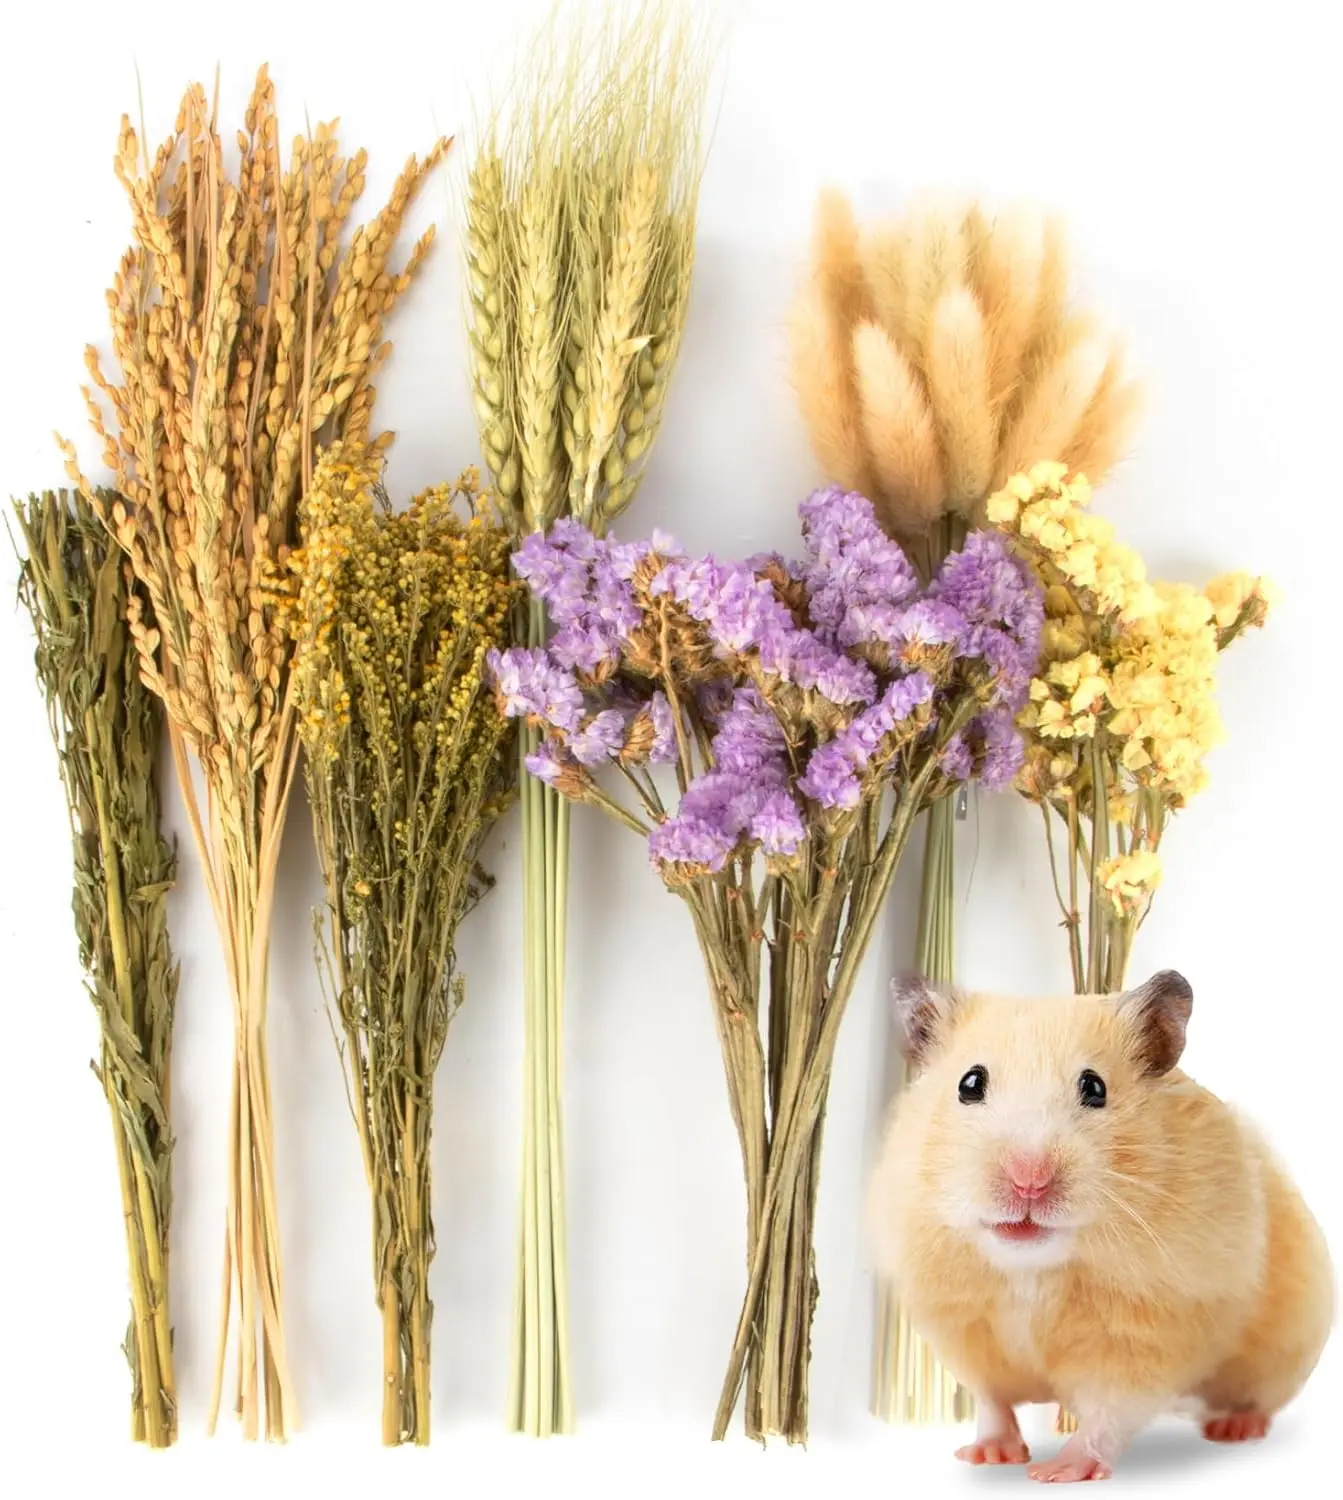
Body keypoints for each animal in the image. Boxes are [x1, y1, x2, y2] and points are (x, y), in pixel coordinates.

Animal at [868, 969, 1334, 1483]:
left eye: (1095, 1088)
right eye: (969, 1083)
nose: (1029, 1180)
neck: (1032, 1269)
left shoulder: (1147, 1336)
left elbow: (1109, 1413)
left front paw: (1055, 1472)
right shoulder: (962, 1330)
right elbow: (990, 1402)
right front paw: (989, 1455)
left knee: (1256, 1399)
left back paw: (1234, 1428)